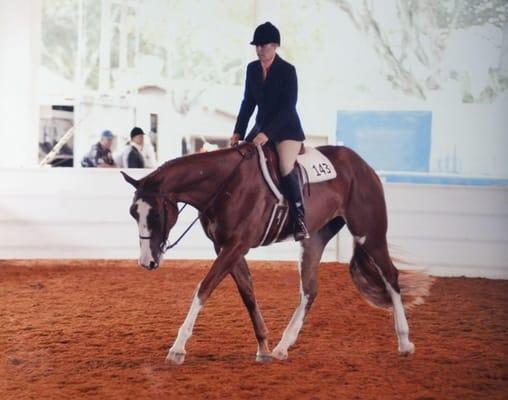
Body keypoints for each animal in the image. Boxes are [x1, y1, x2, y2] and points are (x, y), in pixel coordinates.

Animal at [121, 142, 430, 364]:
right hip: (314, 240)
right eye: (133, 213)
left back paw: (404, 342)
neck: (225, 184)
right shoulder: (227, 247)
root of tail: (363, 165)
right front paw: (264, 347)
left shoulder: (235, 246)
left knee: (390, 276)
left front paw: (178, 348)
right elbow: (247, 293)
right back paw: (283, 347)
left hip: (370, 232)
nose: (147, 261)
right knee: (310, 290)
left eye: (156, 215)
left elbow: (203, 288)